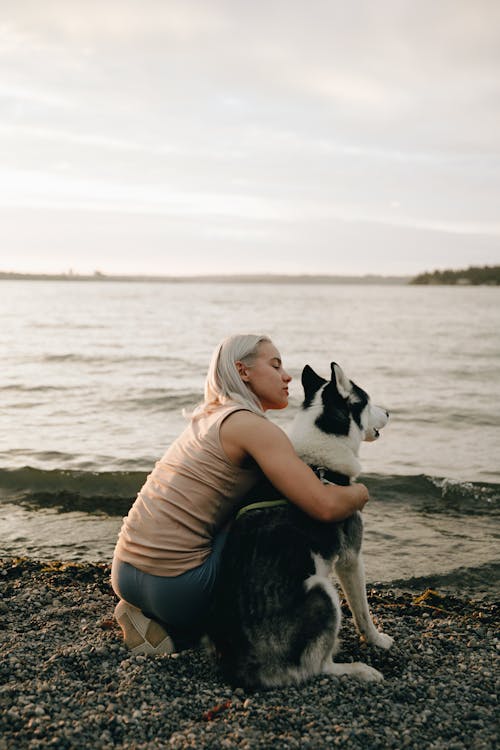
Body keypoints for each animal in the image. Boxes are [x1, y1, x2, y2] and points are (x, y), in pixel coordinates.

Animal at [207, 362, 394, 692]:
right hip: (323, 592)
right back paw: (358, 669)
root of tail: (243, 668)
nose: (389, 412)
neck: (320, 464)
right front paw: (377, 640)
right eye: (368, 401)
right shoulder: (351, 558)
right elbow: (363, 611)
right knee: (317, 667)